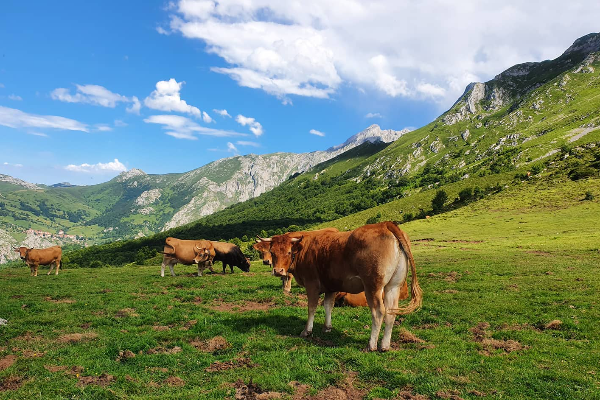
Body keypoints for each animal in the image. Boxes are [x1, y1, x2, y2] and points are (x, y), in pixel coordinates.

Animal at [258, 220, 422, 352]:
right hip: (393, 286)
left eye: (288, 251)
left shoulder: (312, 285)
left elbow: (311, 308)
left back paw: (371, 345)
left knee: (378, 312)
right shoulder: (332, 286)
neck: (303, 248)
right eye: (272, 251)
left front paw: (307, 331)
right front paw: (327, 327)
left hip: (372, 286)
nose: (278, 271)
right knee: (391, 312)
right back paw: (385, 345)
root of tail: (385, 224)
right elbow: (328, 306)